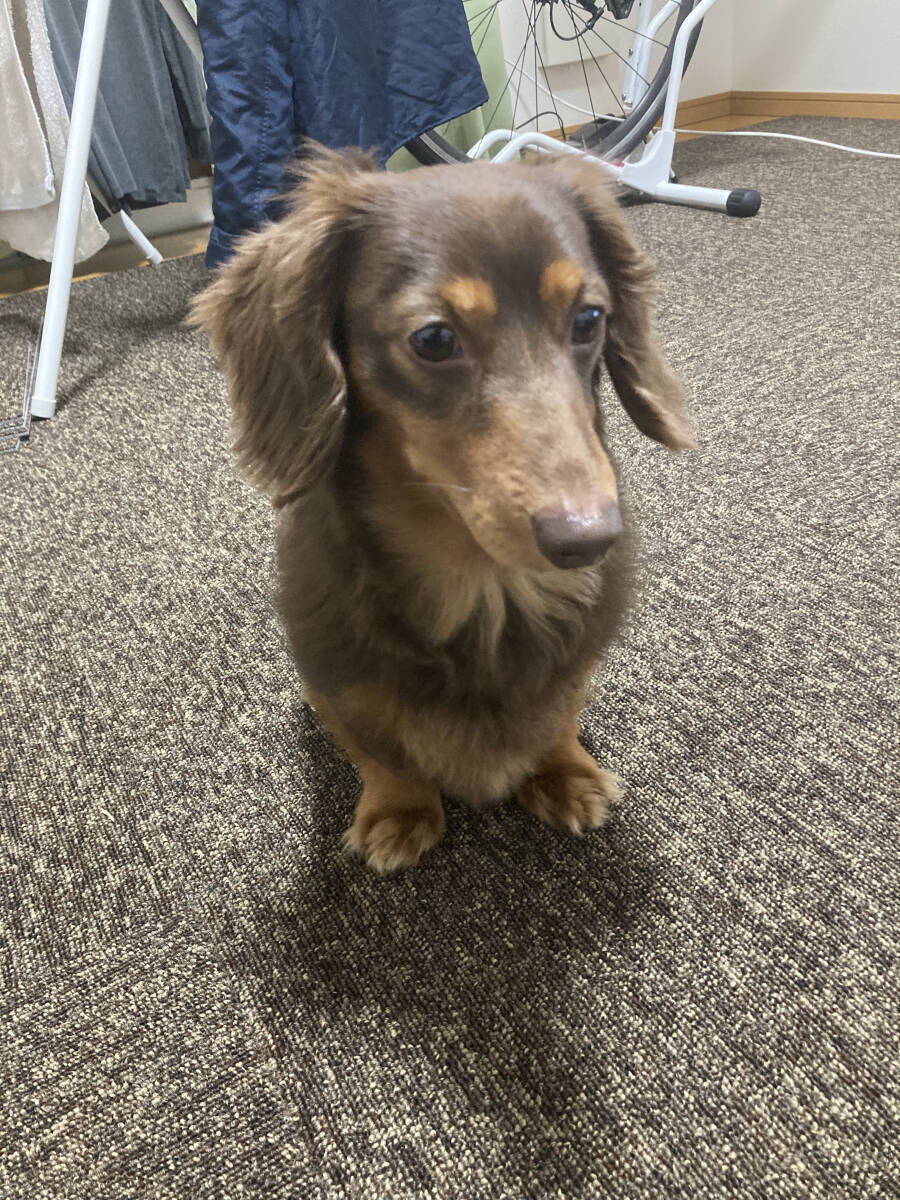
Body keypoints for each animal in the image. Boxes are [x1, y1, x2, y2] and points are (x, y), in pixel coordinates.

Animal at [192, 145, 692, 872]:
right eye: (433, 339)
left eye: (589, 319)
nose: (588, 540)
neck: (486, 586)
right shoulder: (343, 683)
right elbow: (381, 750)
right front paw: (399, 810)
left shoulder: (577, 663)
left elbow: (559, 716)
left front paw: (564, 772)